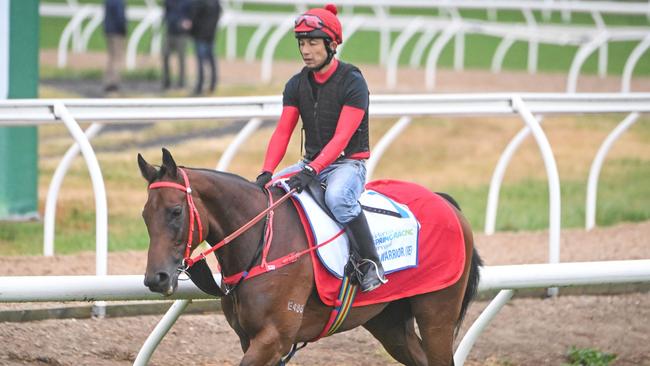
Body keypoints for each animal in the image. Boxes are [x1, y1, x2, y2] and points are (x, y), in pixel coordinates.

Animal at [138, 149, 480, 366]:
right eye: (144, 215)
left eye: (176, 211)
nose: (156, 278)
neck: (262, 243)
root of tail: (448, 204)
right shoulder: (251, 338)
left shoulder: (273, 338)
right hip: (389, 322)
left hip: (437, 314)